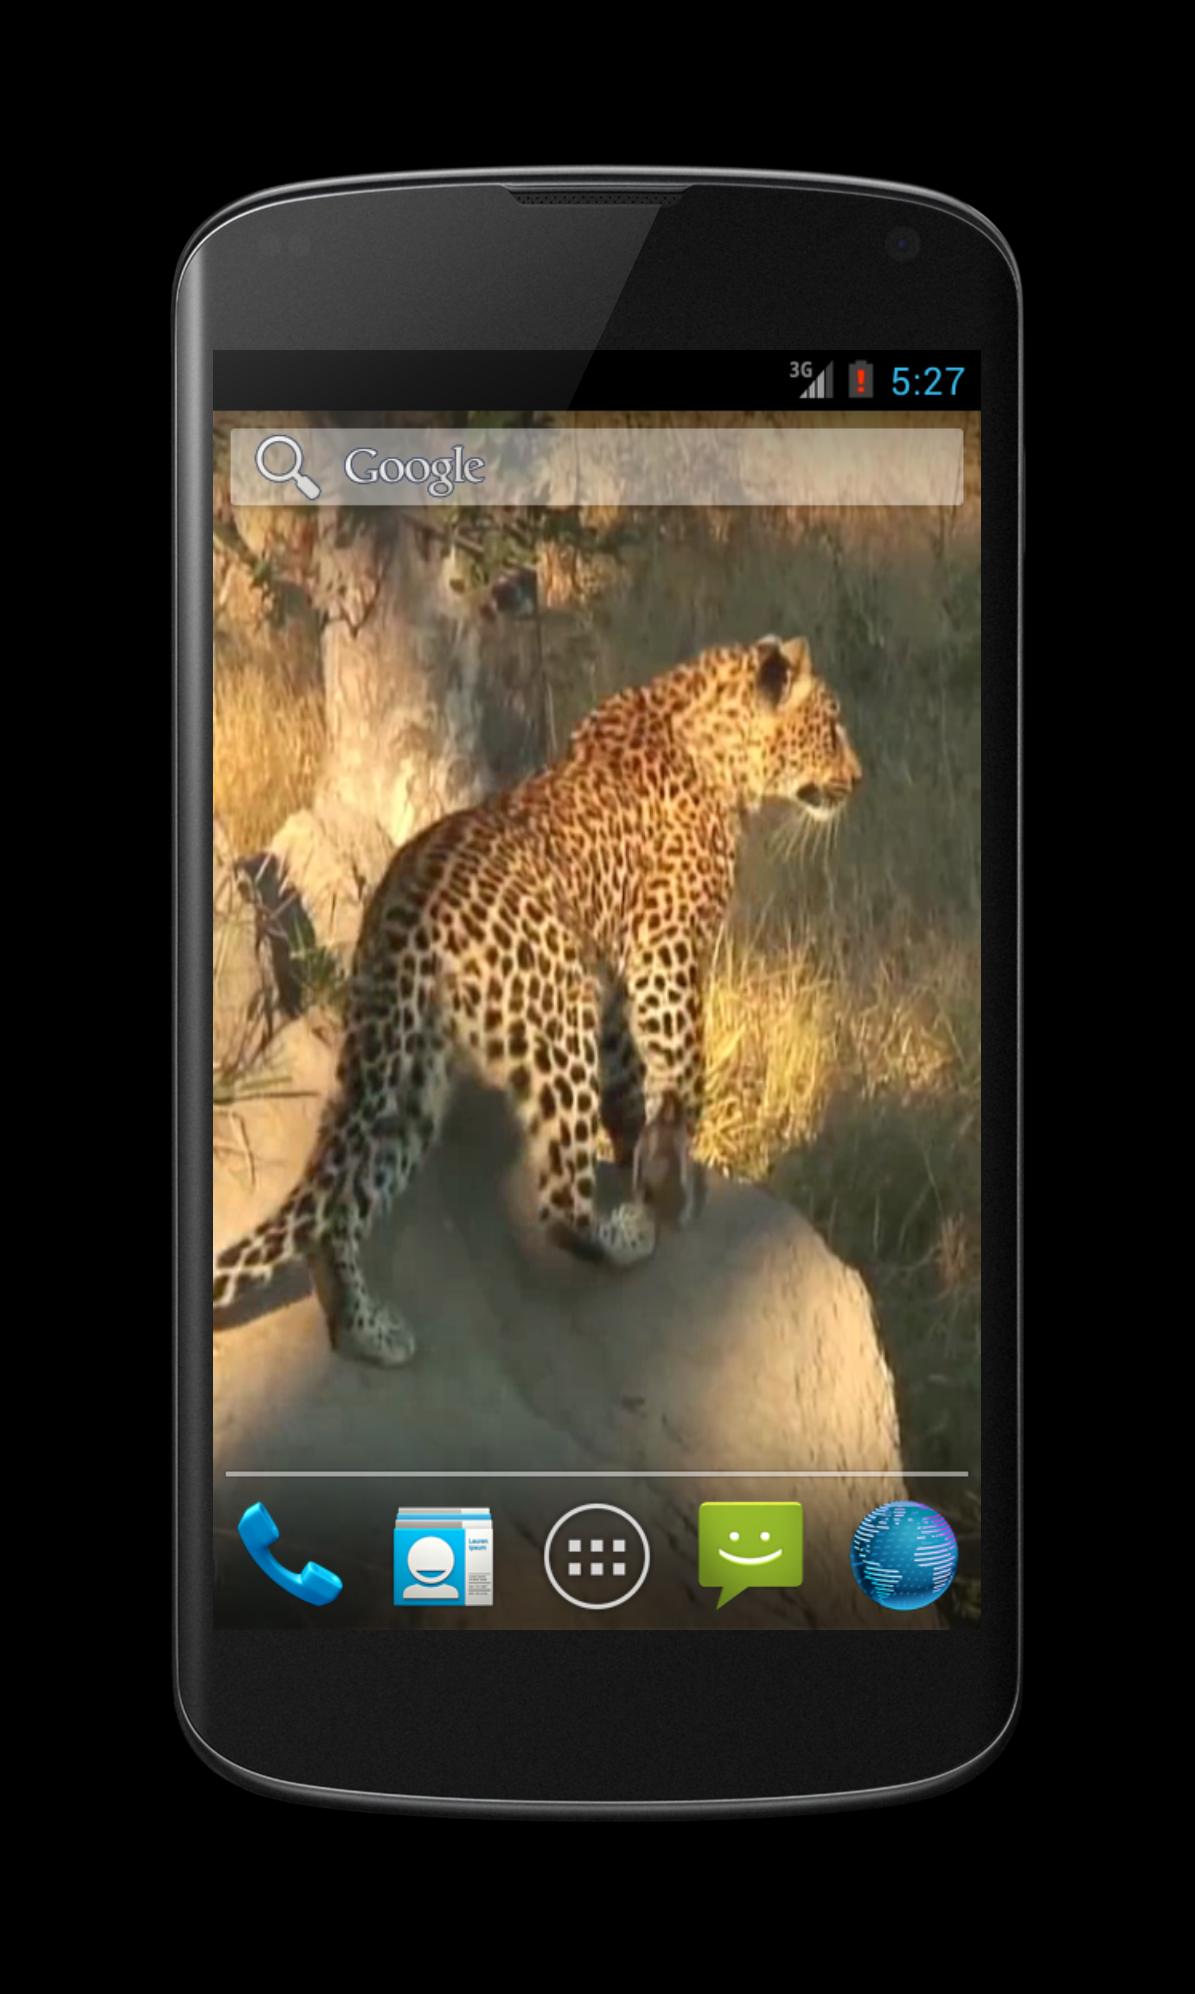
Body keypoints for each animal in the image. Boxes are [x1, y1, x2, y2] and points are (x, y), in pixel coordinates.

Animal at [212, 634, 863, 1365]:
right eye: (831, 727)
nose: (859, 777)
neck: (715, 745)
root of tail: (406, 905)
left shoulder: (616, 979)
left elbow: (630, 1084)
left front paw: (641, 1157)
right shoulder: (664, 954)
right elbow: (681, 1071)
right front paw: (670, 1189)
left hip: (404, 1072)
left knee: (341, 1203)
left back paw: (368, 1331)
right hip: (556, 1017)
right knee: (557, 1204)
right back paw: (625, 1237)